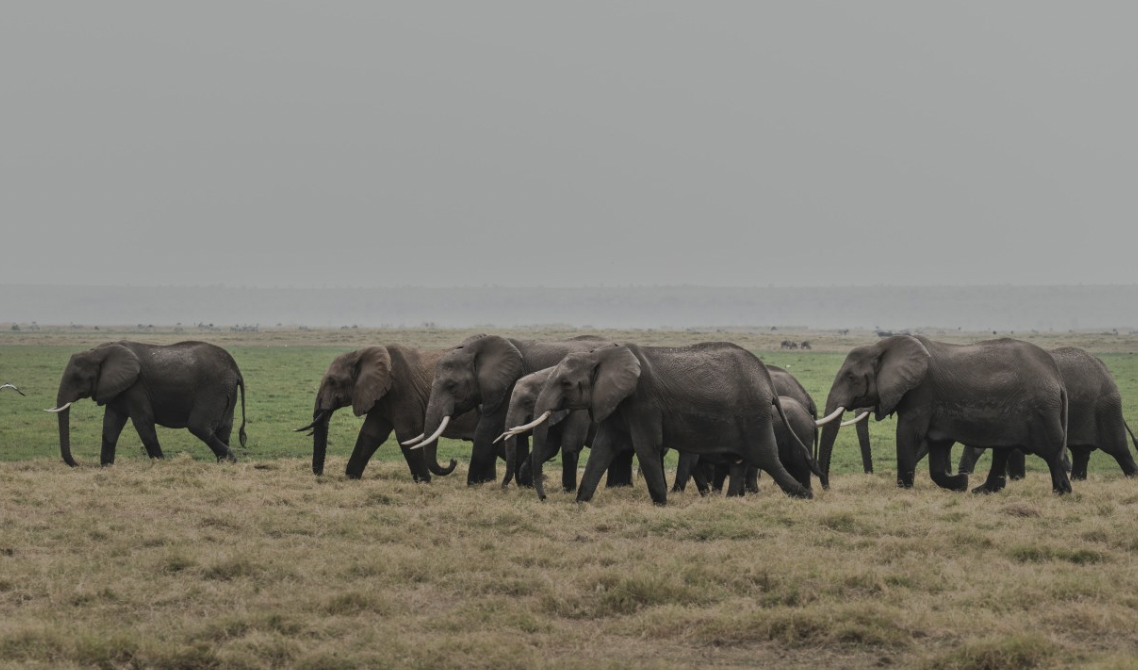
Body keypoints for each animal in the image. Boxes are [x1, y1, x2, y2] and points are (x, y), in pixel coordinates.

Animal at [46, 341, 247, 466]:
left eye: (77, 378)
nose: (77, 464)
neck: (98, 351)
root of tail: (235, 368)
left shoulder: (136, 387)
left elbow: (143, 423)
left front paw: (161, 465)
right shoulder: (118, 390)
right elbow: (110, 426)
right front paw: (106, 467)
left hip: (213, 389)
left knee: (199, 427)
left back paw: (232, 462)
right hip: (227, 392)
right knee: (223, 429)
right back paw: (224, 466)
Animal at [298, 345, 479, 480]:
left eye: (332, 381)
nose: (320, 475)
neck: (360, 354)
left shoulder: (403, 391)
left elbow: (407, 434)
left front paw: (424, 482)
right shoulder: (380, 396)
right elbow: (371, 434)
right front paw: (351, 477)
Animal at [405, 334, 633, 486]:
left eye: (451, 386)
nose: (451, 463)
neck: (474, 348)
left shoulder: (508, 384)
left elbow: (487, 430)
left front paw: (473, 485)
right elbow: (518, 441)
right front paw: (523, 485)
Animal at [506, 342, 818, 505]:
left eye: (566, 383)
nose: (543, 497)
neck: (602, 355)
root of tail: (766, 379)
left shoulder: (643, 403)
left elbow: (646, 448)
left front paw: (662, 503)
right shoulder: (618, 403)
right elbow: (603, 449)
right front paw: (581, 502)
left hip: (753, 415)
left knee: (767, 458)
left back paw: (805, 497)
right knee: (742, 461)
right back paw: (733, 501)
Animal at [816, 335, 1072, 495]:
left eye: (851, 377)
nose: (828, 488)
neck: (882, 346)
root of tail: (1057, 378)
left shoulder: (921, 392)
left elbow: (907, 433)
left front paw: (902, 489)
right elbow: (938, 447)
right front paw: (960, 483)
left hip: (1041, 410)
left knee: (1051, 450)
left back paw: (1061, 491)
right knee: (1004, 449)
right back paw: (981, 491)